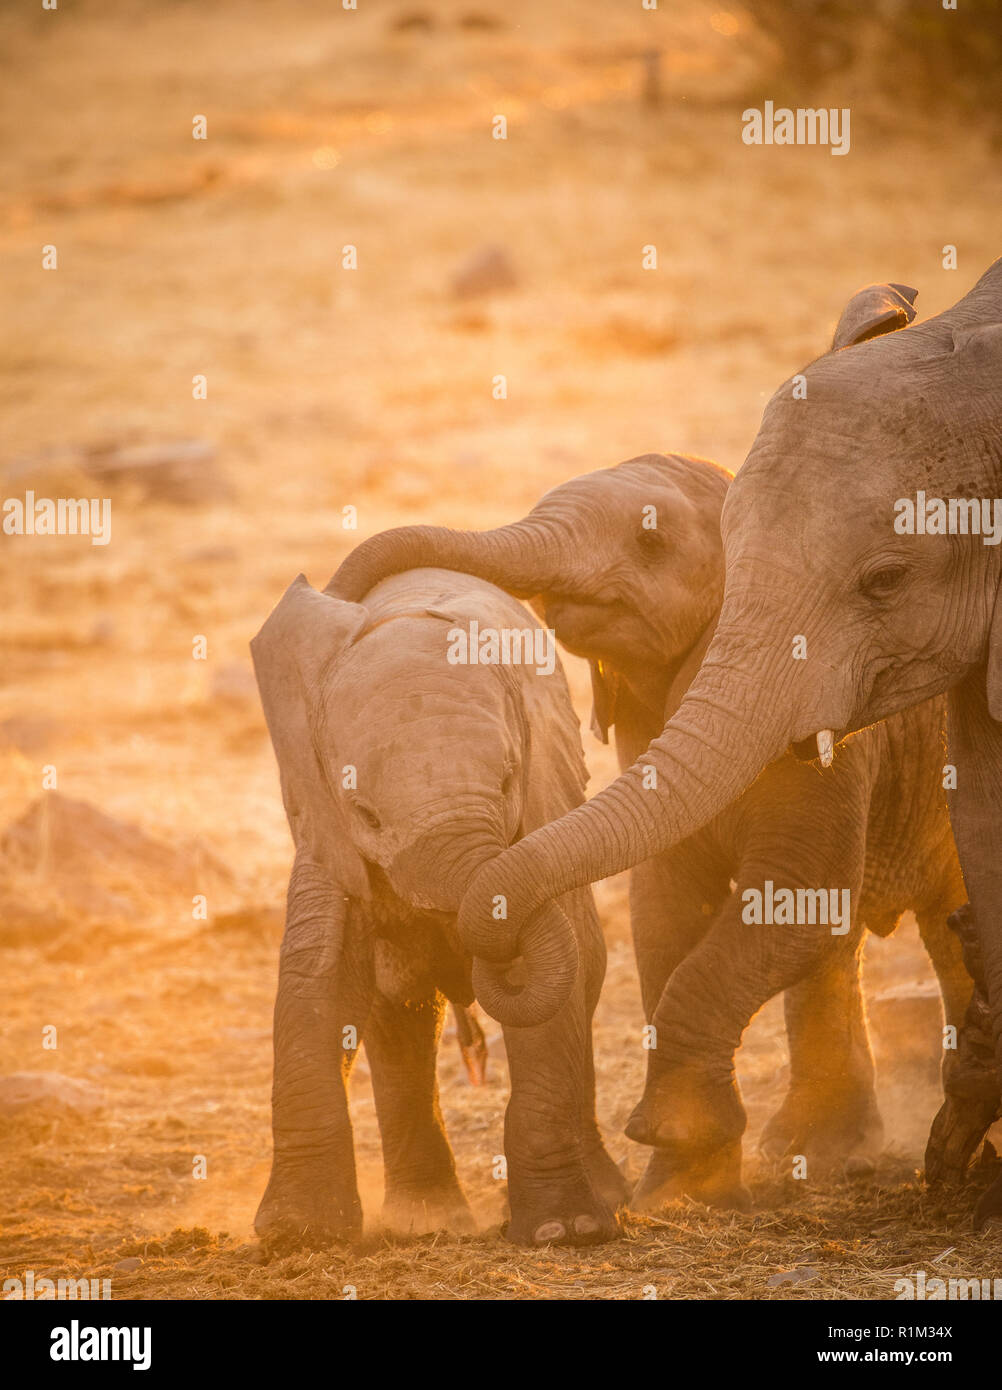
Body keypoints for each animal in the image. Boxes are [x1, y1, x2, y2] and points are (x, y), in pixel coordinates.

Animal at [250, 567, 626, 1248]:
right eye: (366, 814)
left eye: (506, 780)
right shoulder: (323, 827)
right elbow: (318, 980)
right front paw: (298, 1235)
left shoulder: (539, 808)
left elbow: (553, 993)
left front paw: (564, 1229)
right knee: (397, 1015)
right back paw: (424, 1219)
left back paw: (603, 1200)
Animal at [331, 258, 1002, 1226]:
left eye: (649, 538)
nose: (347, 603)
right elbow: (663, 908)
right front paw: (678, 1186)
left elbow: (792, 895)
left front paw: (673, 1142)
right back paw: (827, 1153)